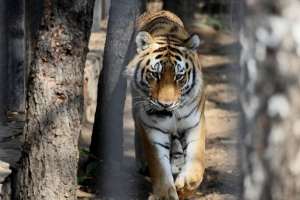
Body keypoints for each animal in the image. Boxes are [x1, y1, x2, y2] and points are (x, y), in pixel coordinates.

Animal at [125, 10, 206, 200]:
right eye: (155, 74)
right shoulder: (151, 127)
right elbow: (158, 164)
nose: (165, 104)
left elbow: (196, 167)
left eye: (179, 76)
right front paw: (164, 194)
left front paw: (182, 187)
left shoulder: (195, 123)